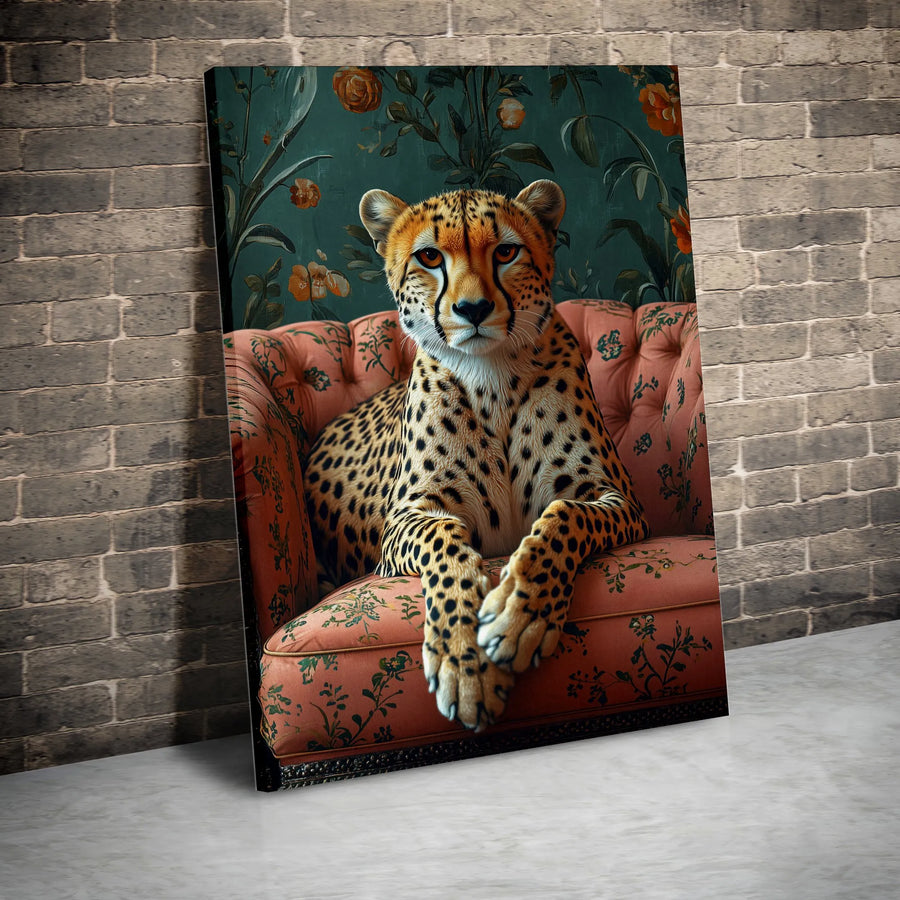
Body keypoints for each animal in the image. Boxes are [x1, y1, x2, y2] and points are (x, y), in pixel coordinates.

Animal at [304, 179, 650, 731]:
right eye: (429, 257)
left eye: (506, 252)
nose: (473, 309)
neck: (492, 377)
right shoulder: (405, 519)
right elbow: (445, 541)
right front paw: (463, 660)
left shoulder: (615, 499)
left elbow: (563, 516)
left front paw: (518, 614)